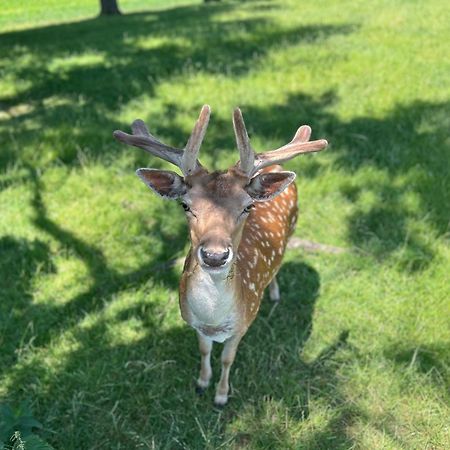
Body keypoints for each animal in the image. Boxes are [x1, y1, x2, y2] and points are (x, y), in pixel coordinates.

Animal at [112, 104, 326, 404]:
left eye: (247, 206)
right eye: (185, 205)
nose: (215, 255)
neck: (214, 321)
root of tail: (276, 167)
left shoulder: (243, 323)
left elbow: (227, 358)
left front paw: (221, 396)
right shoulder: (194, 324)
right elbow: (204, 351)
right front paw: (202, 382)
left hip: (295, 225)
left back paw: (273, 294)